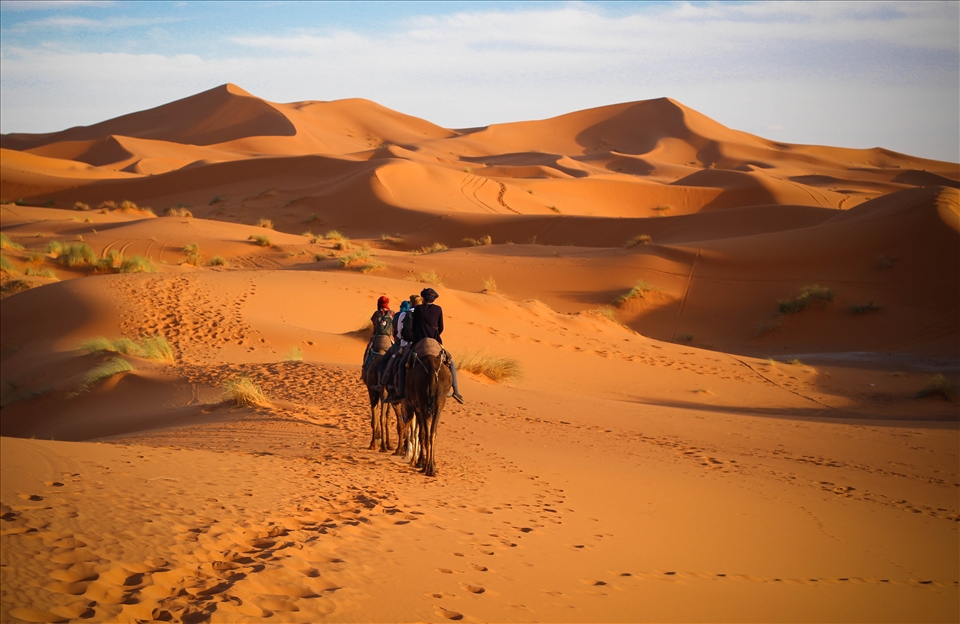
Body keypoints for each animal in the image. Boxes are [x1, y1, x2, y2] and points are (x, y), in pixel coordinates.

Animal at [402, 338, 452, 477]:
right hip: (438, 402)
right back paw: (431, 469)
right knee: (432, 433)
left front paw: (420, 462)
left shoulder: (417, 405)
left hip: (422, 402)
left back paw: (425, 467)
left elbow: (420, 433)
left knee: (424, 433)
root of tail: (431, 368)